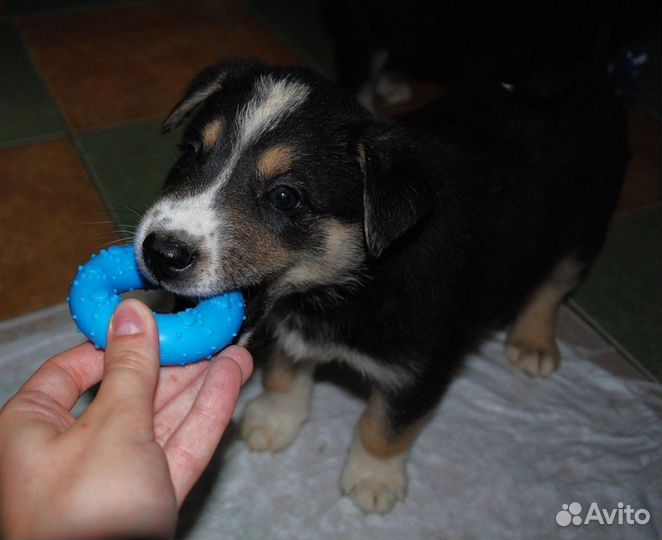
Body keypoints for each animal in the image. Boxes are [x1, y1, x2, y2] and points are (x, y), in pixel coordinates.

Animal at [134, 59, 628, 516]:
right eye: (190, 154)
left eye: (285, 197)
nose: (161, 252)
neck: (358, 277)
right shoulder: (297, 331)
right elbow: (286, 374)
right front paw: (274, 421)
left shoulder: (422, 370)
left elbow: (384, 426)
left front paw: (373, 481)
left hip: (584, 229)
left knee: (553, 286)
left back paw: (533, 342)